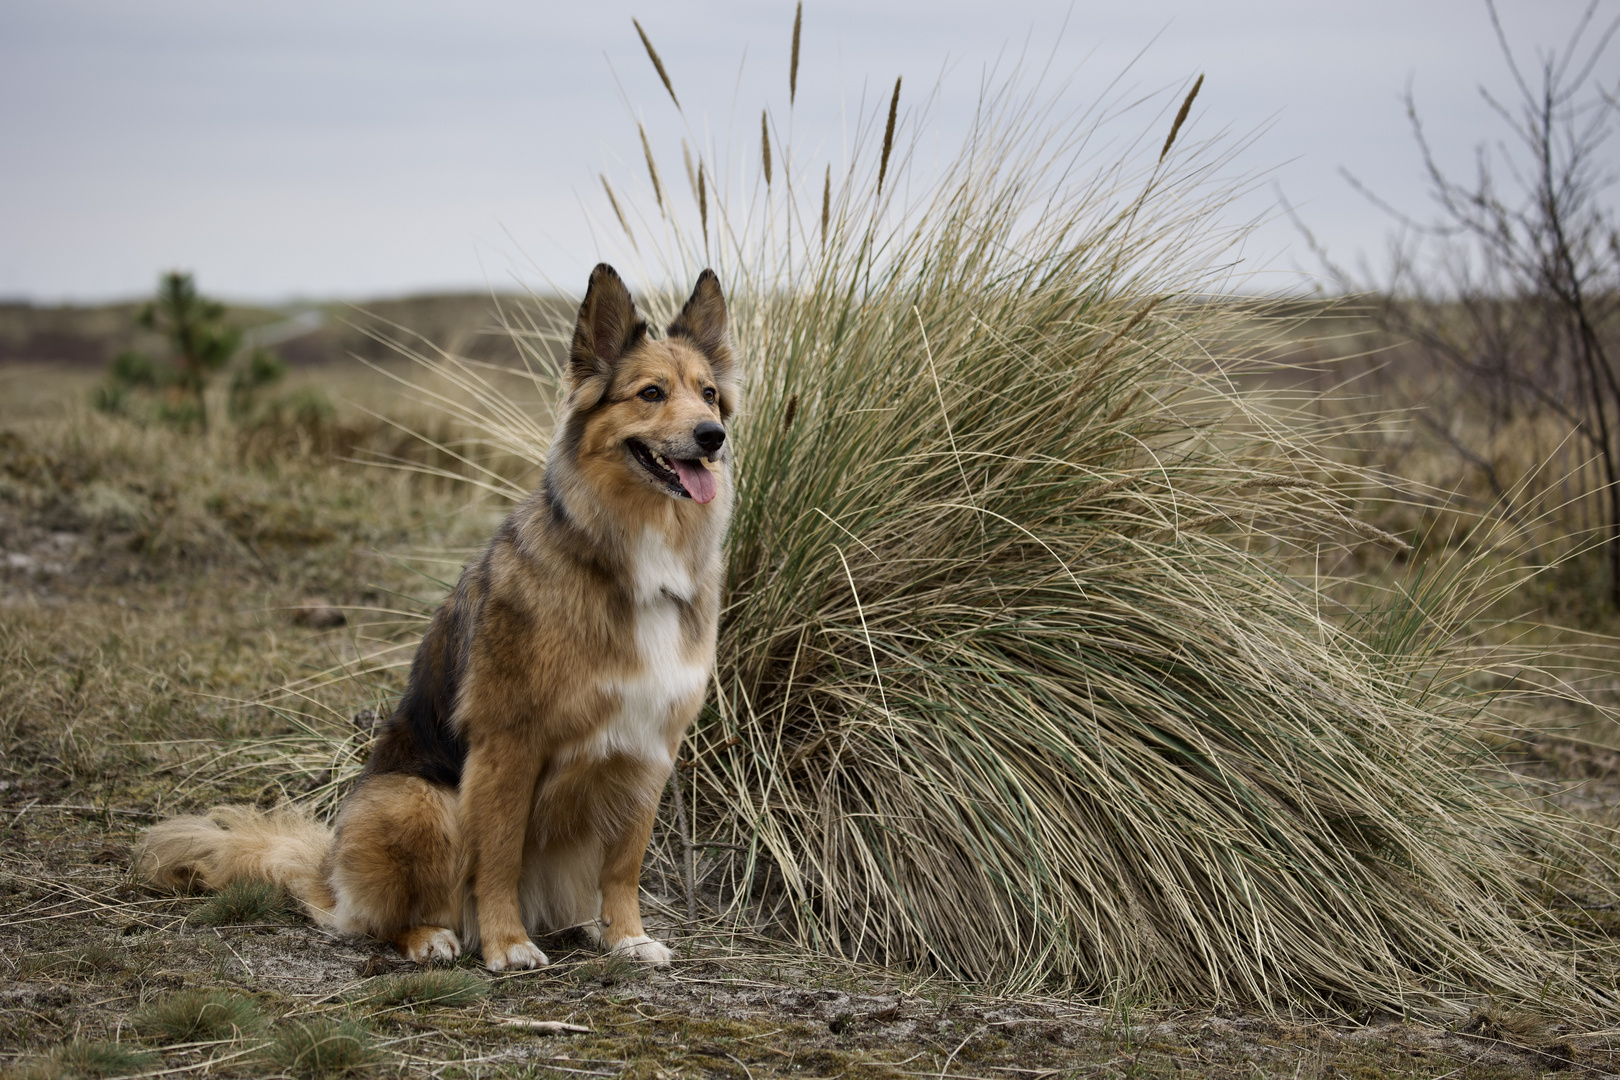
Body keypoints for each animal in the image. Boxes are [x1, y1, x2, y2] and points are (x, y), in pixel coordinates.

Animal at [136, 263, 738, 971]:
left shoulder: (650, 745)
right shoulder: (509, 742)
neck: (634, 560)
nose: (713, 437)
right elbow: (498, 855)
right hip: (416, 800)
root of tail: (329, 875)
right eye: (650, 393)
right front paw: (507, 944)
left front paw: (627, 936)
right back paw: (434, 936)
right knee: (379, 918)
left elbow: (625, 863)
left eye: (708, 394)